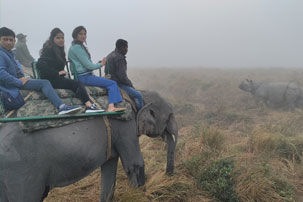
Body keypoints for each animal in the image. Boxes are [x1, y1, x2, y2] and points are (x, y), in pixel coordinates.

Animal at [0, 91, 178, 202]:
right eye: (170, 116)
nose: (168, 176)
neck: (138, 94)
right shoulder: (126, 126)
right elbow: (134, 164)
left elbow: (110, 166)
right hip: (21, 171)